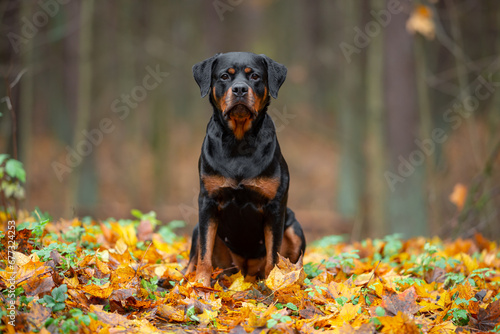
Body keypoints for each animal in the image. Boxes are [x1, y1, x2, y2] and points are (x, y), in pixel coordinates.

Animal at [187, 52, 304, 288]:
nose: (240, 89)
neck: (239, 142)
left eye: (255, 76)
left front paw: (272, 284)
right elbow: (204, 253)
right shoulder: (207, 202)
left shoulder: (275, 207)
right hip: (198, 229)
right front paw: (201, 285)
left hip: (294, 228)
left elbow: (273, 254)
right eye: (224, 76)